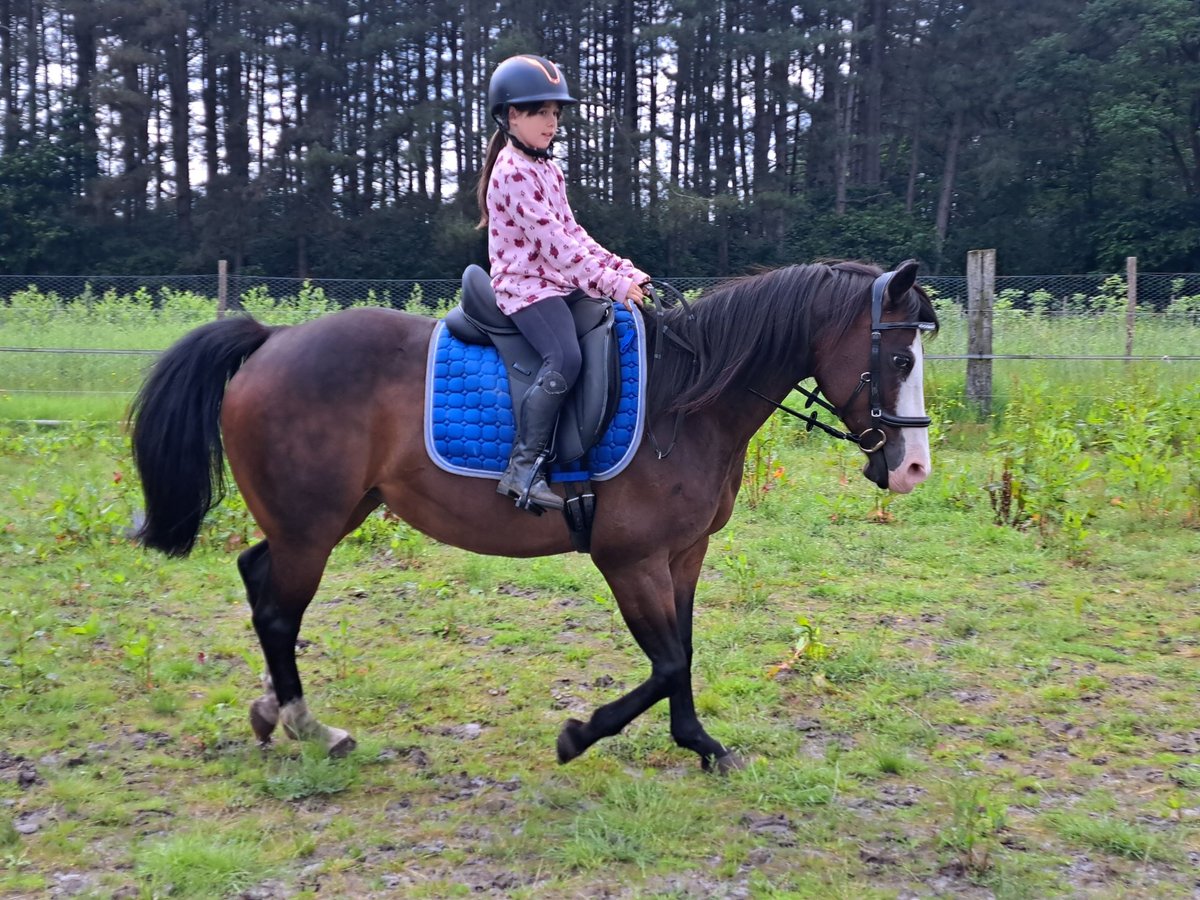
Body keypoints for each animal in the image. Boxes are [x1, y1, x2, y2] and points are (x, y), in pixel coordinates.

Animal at [129, 259, 936, 777]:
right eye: (898, 359)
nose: (912, 470)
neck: (685, 400)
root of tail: (271, 341)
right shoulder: (629, 560)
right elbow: (667, 661)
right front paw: (580, 735)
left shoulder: (683, 556)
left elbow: (683, 652)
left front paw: (699, 743)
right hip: (311, 529)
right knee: (278, 611)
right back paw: (308, 724)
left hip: (327, 519)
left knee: (258, 579)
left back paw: (274, 711)